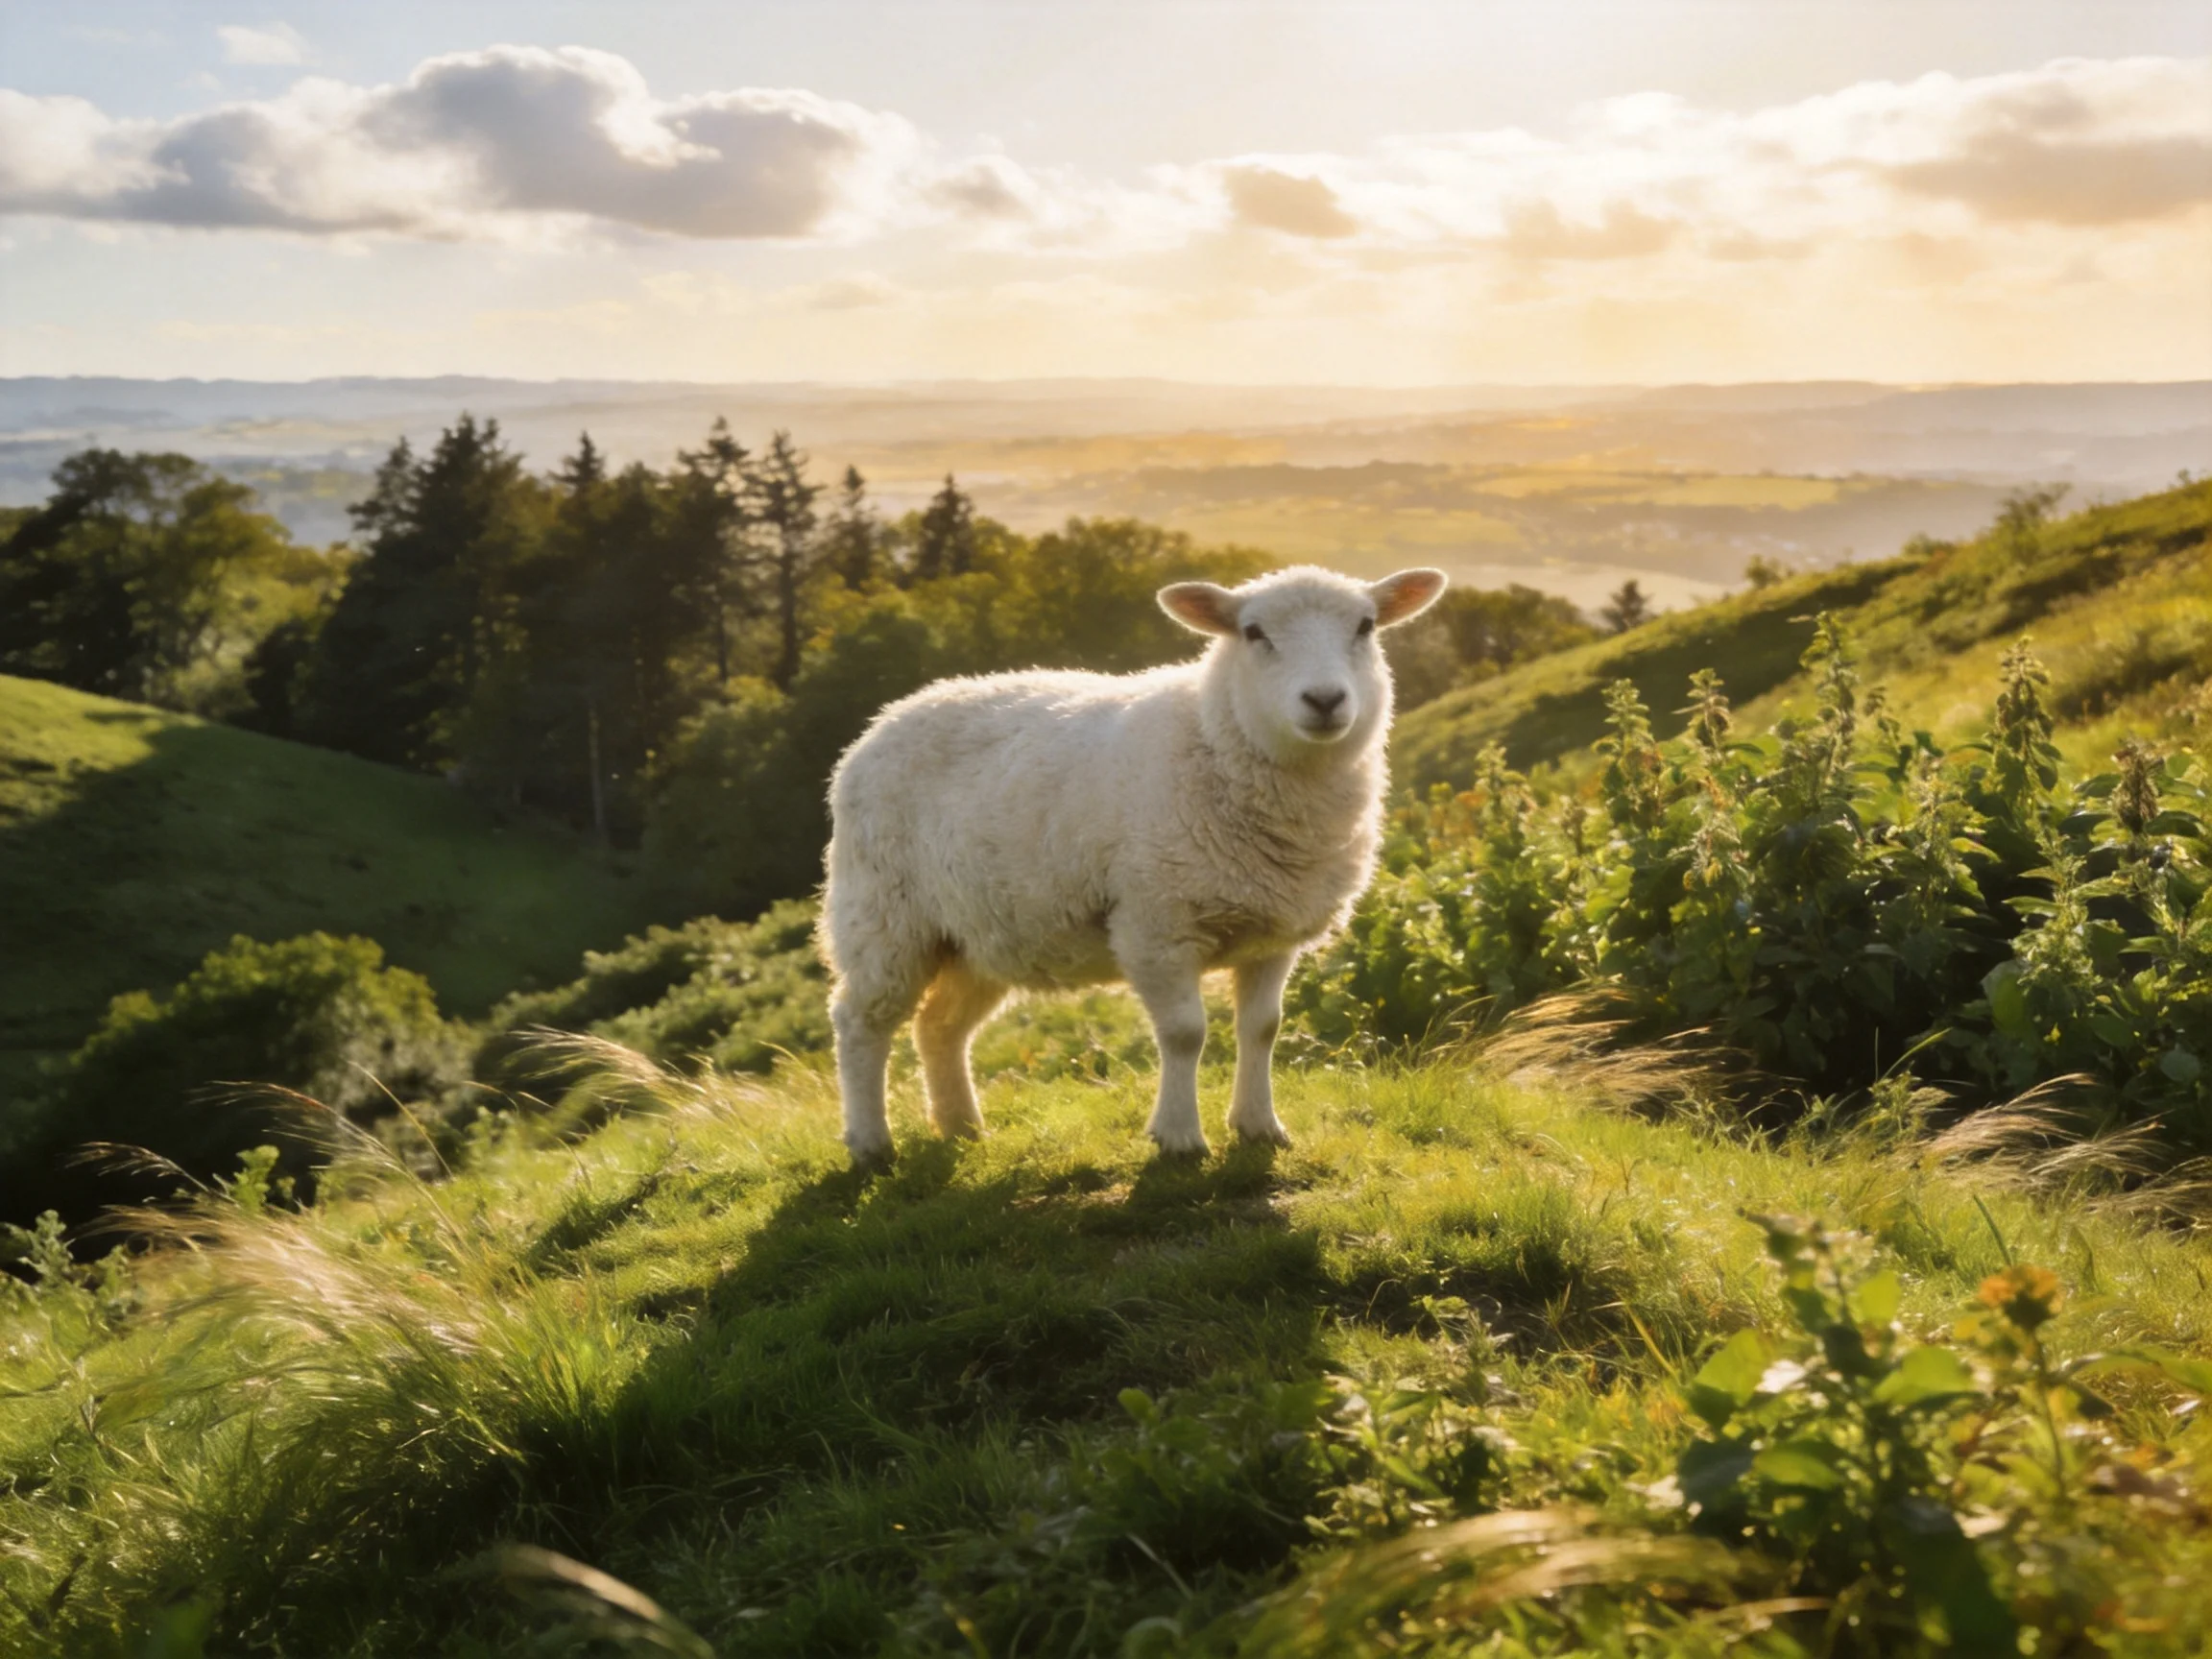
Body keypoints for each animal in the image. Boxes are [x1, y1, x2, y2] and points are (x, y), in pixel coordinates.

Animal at [819, 564, 1447, 1161]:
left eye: (1365, 626)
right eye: (1253, 632)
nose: (1324, 701)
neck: (1213, 737)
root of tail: (886, 718)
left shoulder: (1272, 934)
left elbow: (1262, 1029)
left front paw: (1260, 1127)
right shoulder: (1155, 924)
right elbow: (1185, 1034)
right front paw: (1179, 1137)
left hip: (977, 933)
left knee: (939, 1026)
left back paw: (962, 1128)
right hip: (884, 915)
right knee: (859, 1023)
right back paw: (870, 1142)